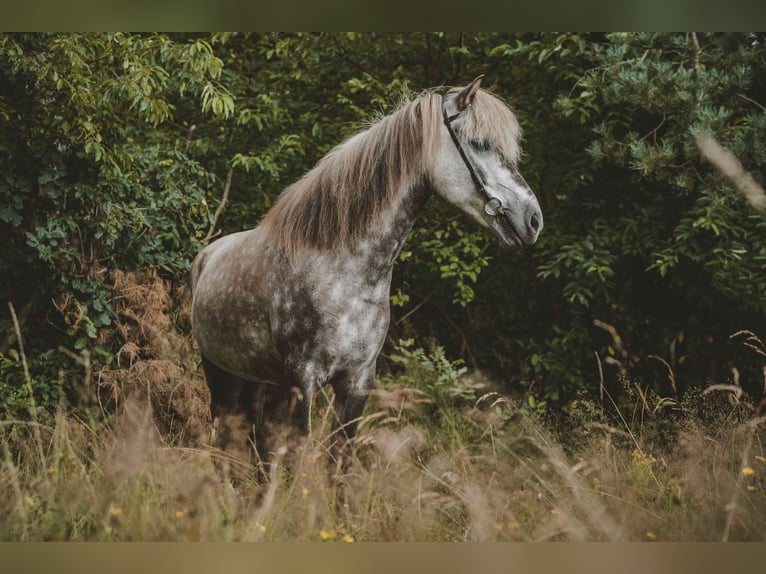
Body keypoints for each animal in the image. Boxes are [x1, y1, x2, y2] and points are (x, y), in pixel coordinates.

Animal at [190, 76, 544, 470]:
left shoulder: (357, 382)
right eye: (480, 143)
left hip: (258, 379)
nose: (533, 220)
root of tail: (207, 256)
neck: (345, 272)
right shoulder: (303, 378)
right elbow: (297, 456)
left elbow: (339, 461)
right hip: (220, 376)